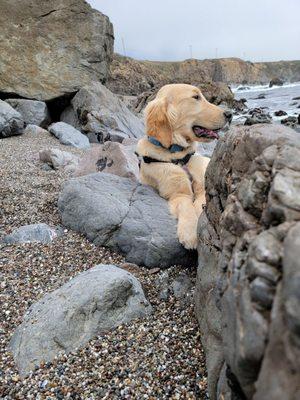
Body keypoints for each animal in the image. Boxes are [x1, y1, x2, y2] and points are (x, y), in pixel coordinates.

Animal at [136, 83, 232, 248]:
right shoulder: (177, 194)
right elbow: (186, 205)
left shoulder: (202, 187)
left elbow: (199, 202)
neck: (178, 156)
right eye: (196, 97)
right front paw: (189, 232)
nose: (229, 114)